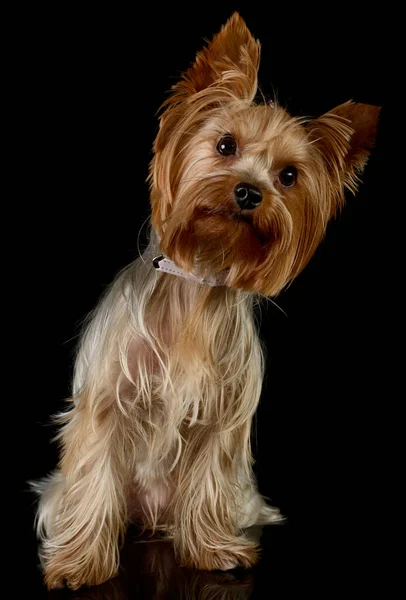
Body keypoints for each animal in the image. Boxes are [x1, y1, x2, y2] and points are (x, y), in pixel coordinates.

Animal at [32, 11, 380, 588]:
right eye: (224, 145)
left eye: (289, 176)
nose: (248, 192)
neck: (197, 275)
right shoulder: (108, 401)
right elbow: (94, 474)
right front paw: (80, 564)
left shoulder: (224, 415)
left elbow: (209, 474)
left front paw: (212, 551)